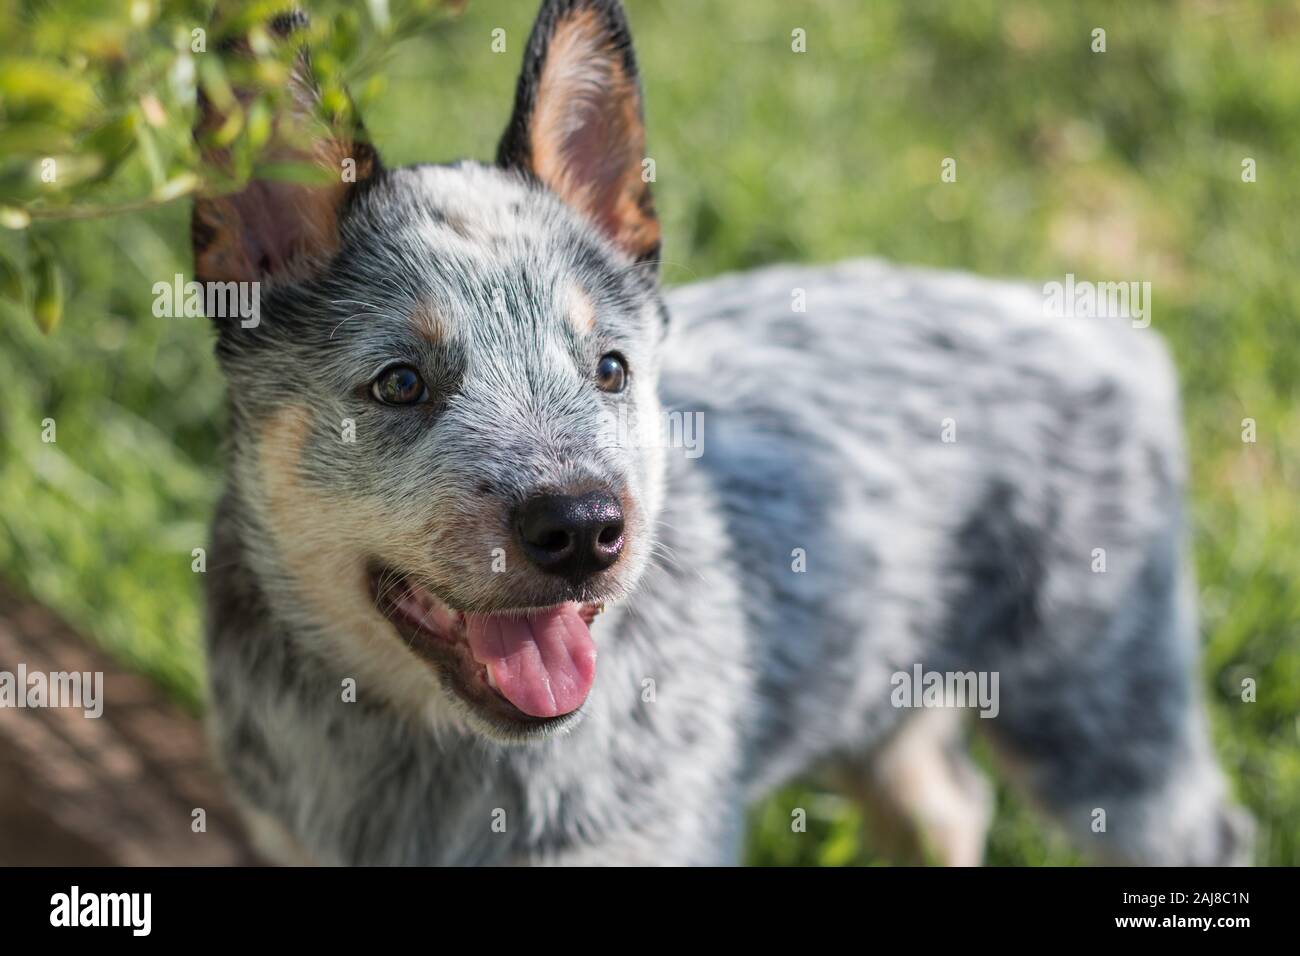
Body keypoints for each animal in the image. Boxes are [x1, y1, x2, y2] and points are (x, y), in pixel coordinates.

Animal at [192, 1, 1248, 868]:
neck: (425, 756)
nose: (584, 527)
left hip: (1107, 722)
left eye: (610, 368)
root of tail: (1092, 319)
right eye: (401, 383)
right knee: (948, 803)